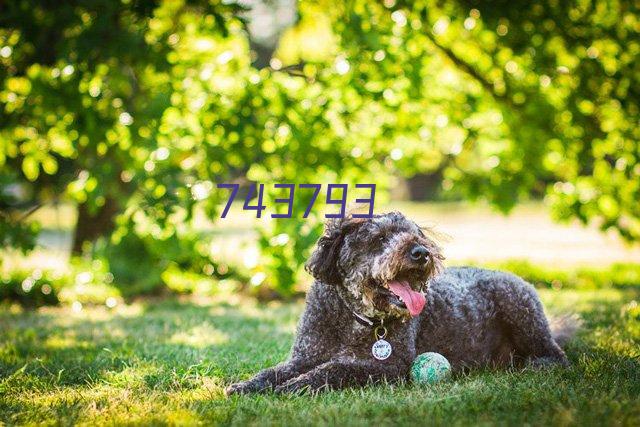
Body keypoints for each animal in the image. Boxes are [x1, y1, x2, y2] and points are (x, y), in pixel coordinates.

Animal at [225, 212, 568, 396]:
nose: (422, 252)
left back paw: (538, 364)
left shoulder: (389, 367)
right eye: (379, 239)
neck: (355, 318)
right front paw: (245, 386)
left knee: (557, 355)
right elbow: (272, 372)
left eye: (415, 234)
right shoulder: (303, 356)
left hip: (521, 309)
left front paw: (291, 388)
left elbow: (332, 370)